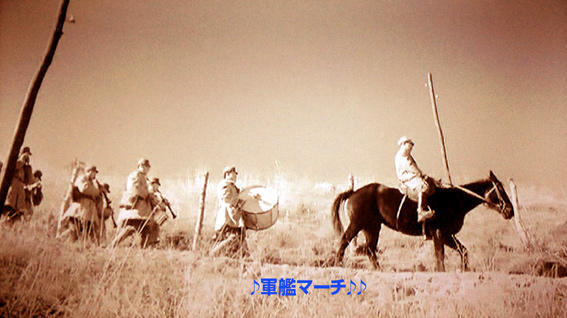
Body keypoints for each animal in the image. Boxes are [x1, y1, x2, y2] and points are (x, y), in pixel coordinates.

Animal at [332, 171, 516, 270]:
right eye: (500, 189)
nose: (510, 210)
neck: (455, 200)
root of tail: (353, 192)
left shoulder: (447, 235)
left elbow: (463, 251)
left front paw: (464, 269)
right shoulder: (440, 233)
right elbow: (440, 256)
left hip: (371, 227)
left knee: (370, 249)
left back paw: (378, 269)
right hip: (357, 224)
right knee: (344, 241)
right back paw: (338, 263)